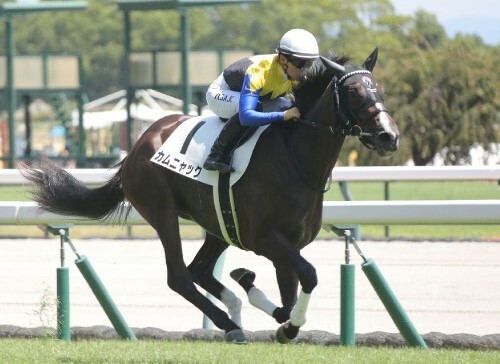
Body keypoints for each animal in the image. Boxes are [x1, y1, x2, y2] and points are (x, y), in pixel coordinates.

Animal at [22, 48, 398, 344]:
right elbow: (308, 276)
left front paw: (267, 303)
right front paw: (288, 327)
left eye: (377, 88)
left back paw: (236, 302)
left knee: (199, 270)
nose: (389, 136)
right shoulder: (264, 238)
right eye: (353, 91)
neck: (296, 158)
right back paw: (229, 323)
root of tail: (136, 148)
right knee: (179, 275)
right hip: (162, 210)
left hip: (218, 223)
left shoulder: (289, 243)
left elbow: (288, 299)